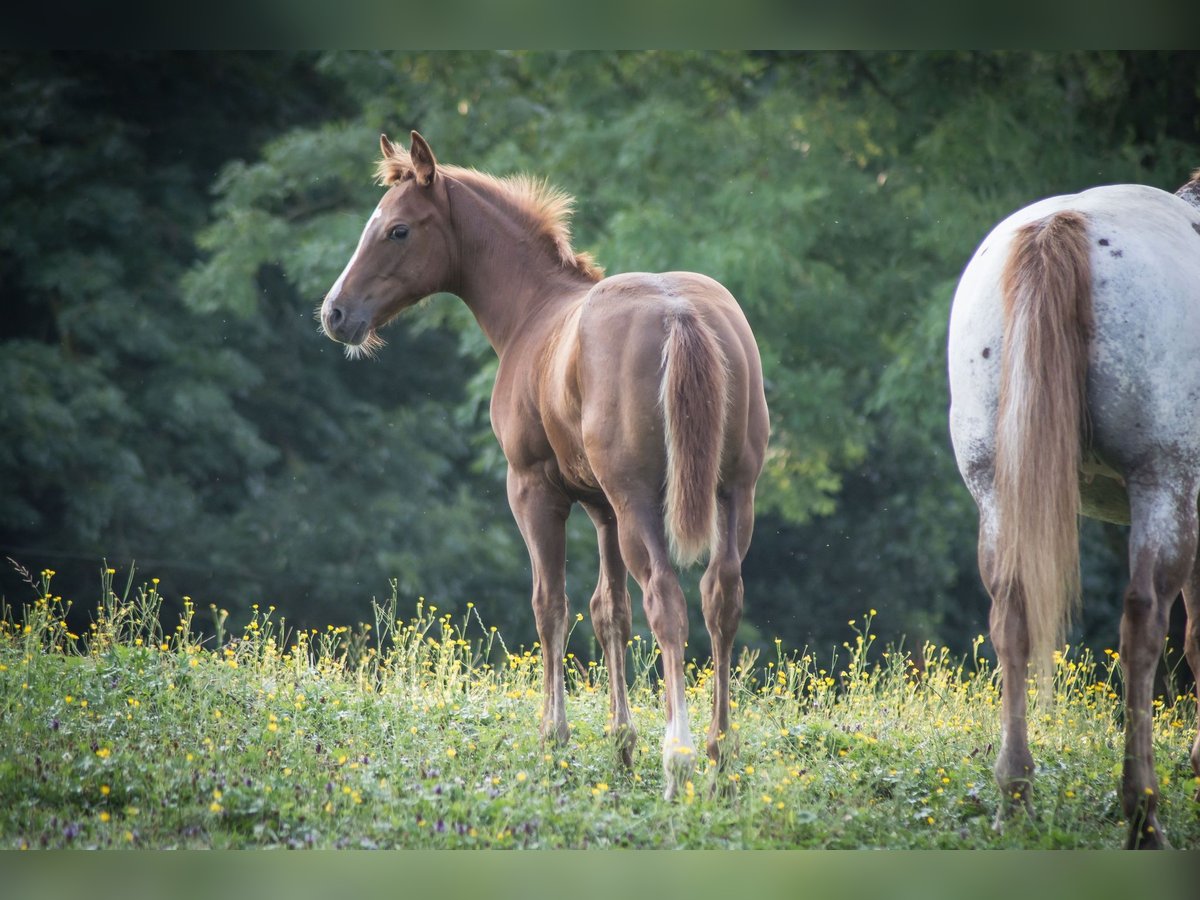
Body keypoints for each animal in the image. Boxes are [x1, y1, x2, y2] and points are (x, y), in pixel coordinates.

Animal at [319, 132, 768, 796]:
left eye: (398, 230)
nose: (335, 314)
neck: (533, 312)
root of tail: (679, 315)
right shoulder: (603, 510)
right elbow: (609, 612)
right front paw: (620, 744)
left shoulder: (534, 490)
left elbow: (550, 606)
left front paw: (554, 740)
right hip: (733, 490)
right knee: (721, 596)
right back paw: (720, 759)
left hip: (640, 500)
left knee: (668, 600)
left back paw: (679, 759)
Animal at [950, 170, 1200, 854]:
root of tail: (1060, 226)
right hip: (1165, 481)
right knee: (1143, 620)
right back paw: (1143, 813)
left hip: (996, 488)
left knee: (1011, 611)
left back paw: (1015, 796)